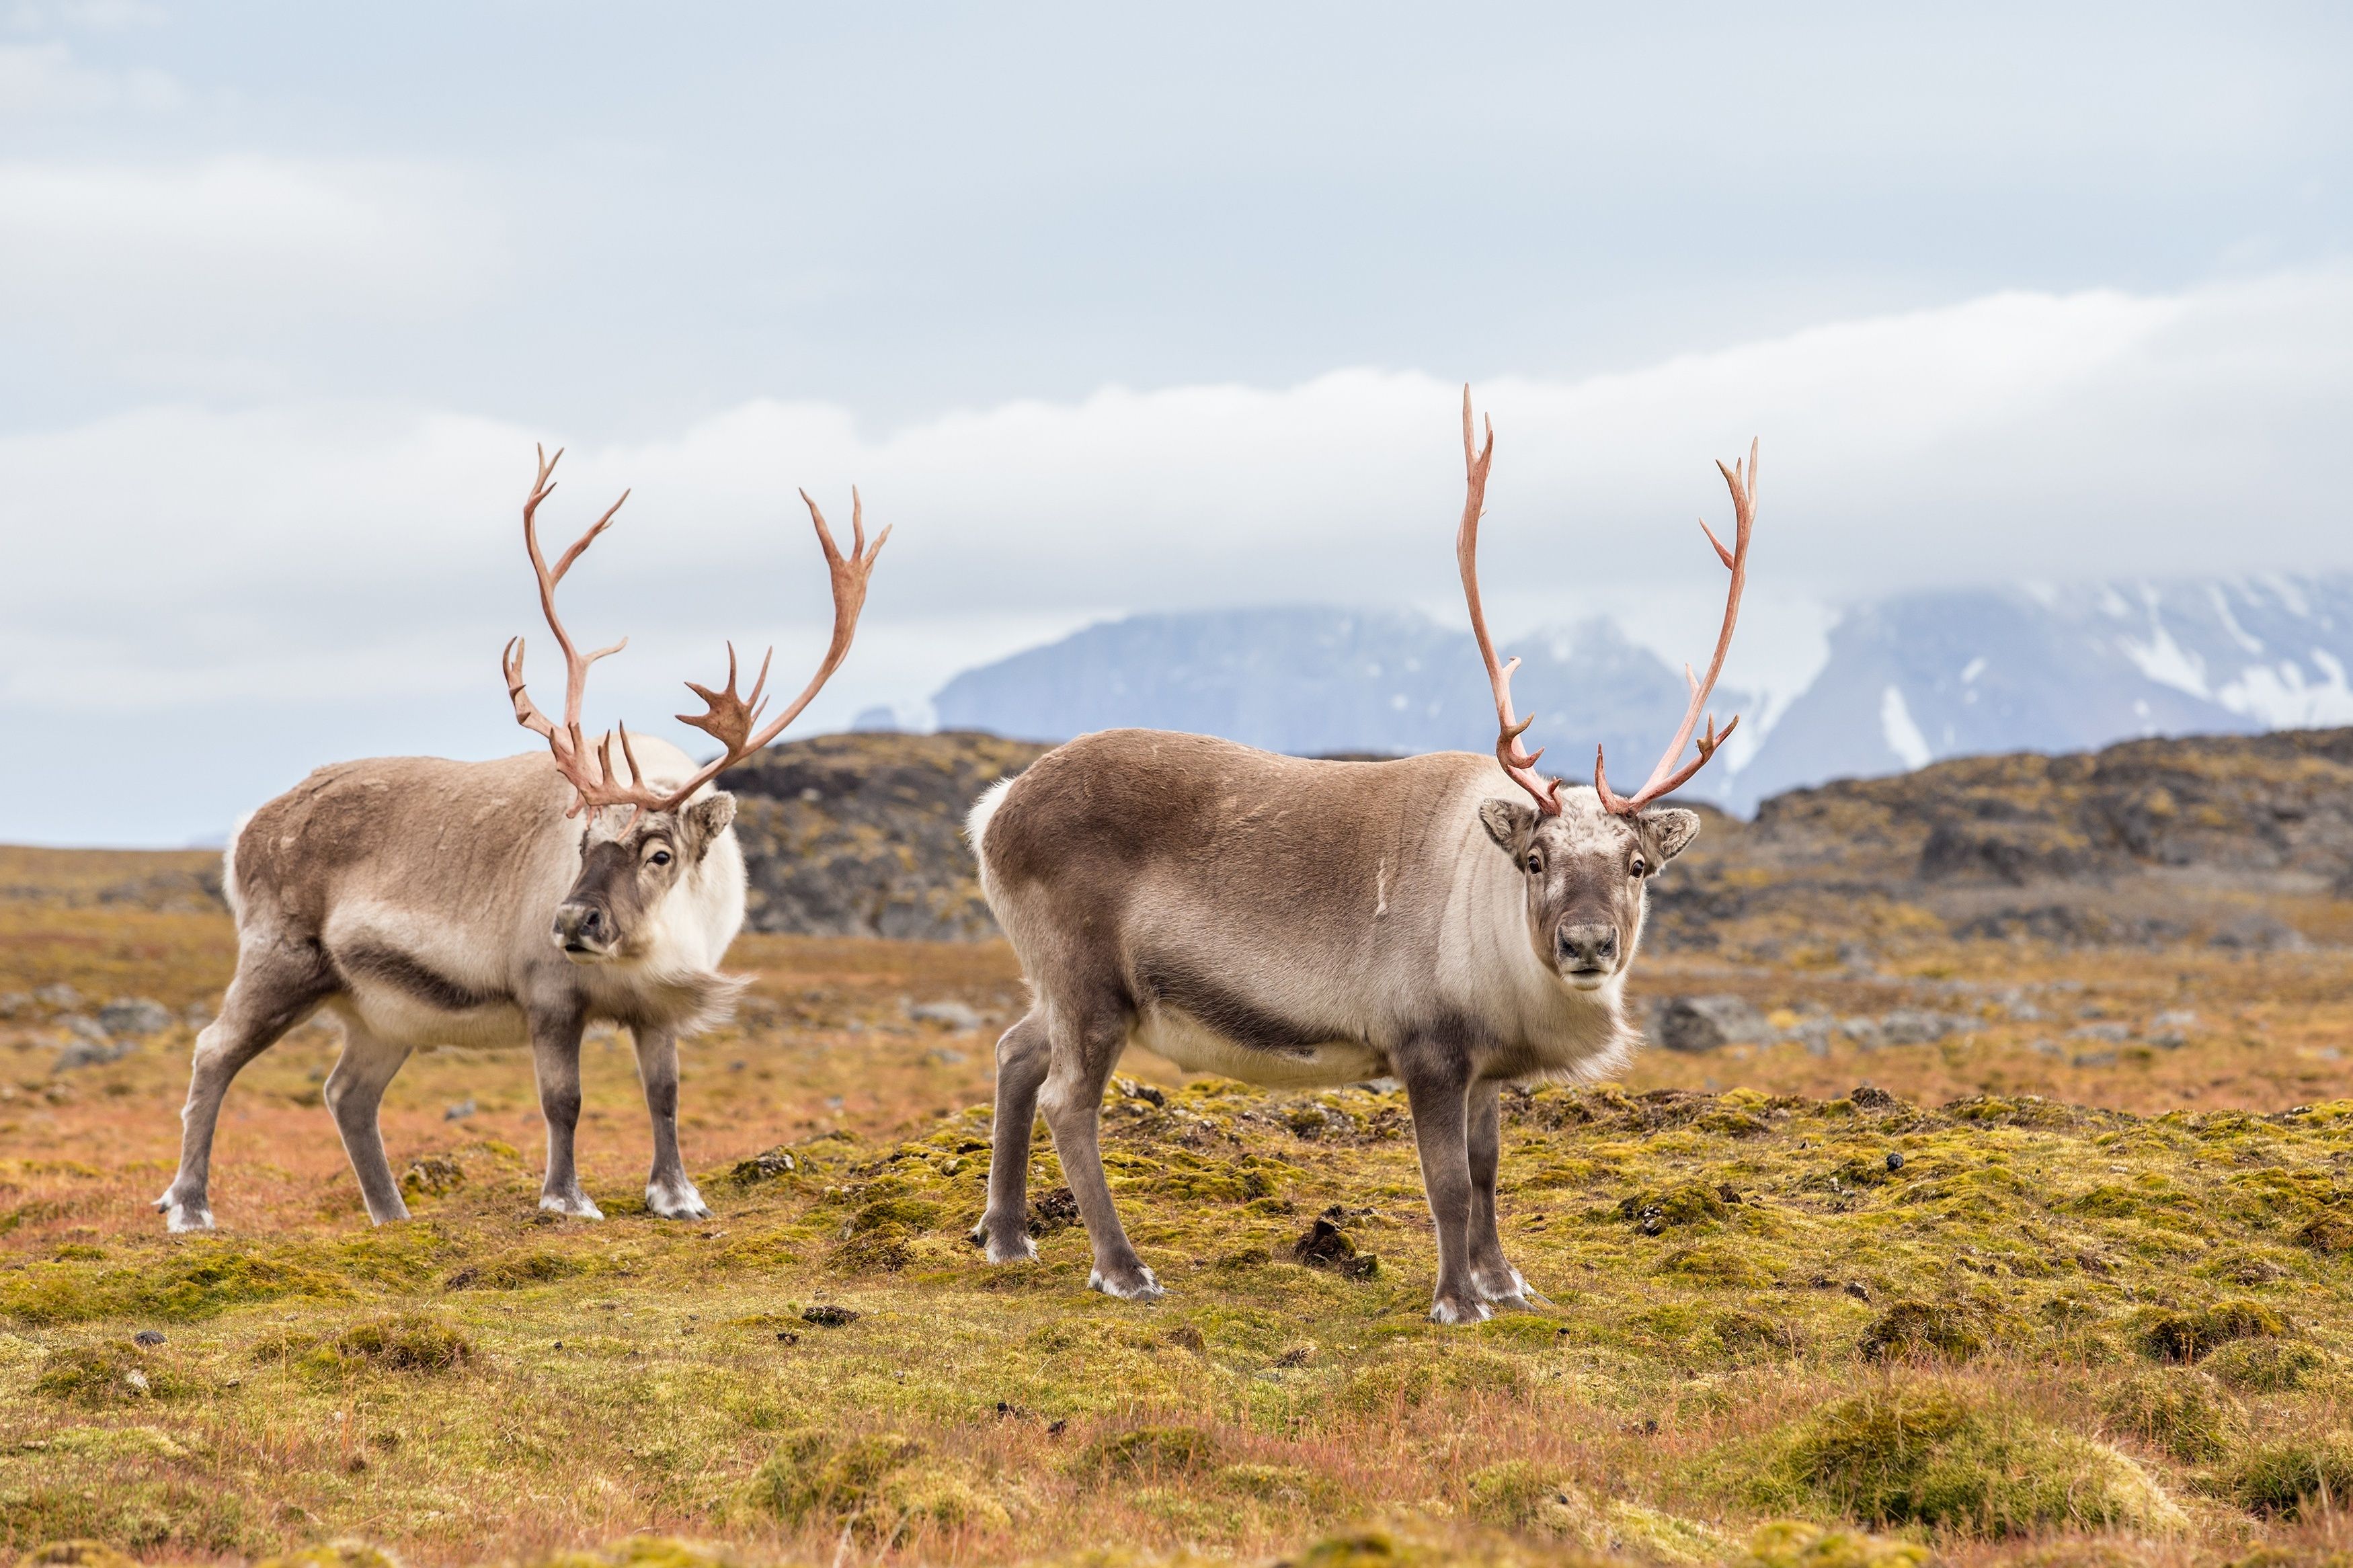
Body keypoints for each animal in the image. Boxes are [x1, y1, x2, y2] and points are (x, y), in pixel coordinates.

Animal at [154, 447, 887, 1233]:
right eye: (582, 843)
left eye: (659, 851)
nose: (571, 919)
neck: (646, 948)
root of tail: (246, 829)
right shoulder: (549, 996)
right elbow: (562, 1100)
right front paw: (567, 1198)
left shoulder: (660, 1006)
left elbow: (664, 1096)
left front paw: (678, 1195)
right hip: (280, 960)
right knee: (213, 1054)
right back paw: (190, 1205)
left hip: (382, 1014)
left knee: (347, 1092)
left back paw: (392, 1215)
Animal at [966, 389, 1756, 1323]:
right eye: (1534, 859)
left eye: (1637, 865)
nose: (1588, 943)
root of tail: (994, 810)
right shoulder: (1427, 1049)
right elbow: (1445, 1182)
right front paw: (1456, 1298)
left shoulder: (1486, 1067)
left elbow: (1487, 1174)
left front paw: (1505, 1281)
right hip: (1089, 985)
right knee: (1067, 1101)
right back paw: (1122, 1268)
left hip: (1064, 985)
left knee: (1015, 1051)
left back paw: (1006, 1234)